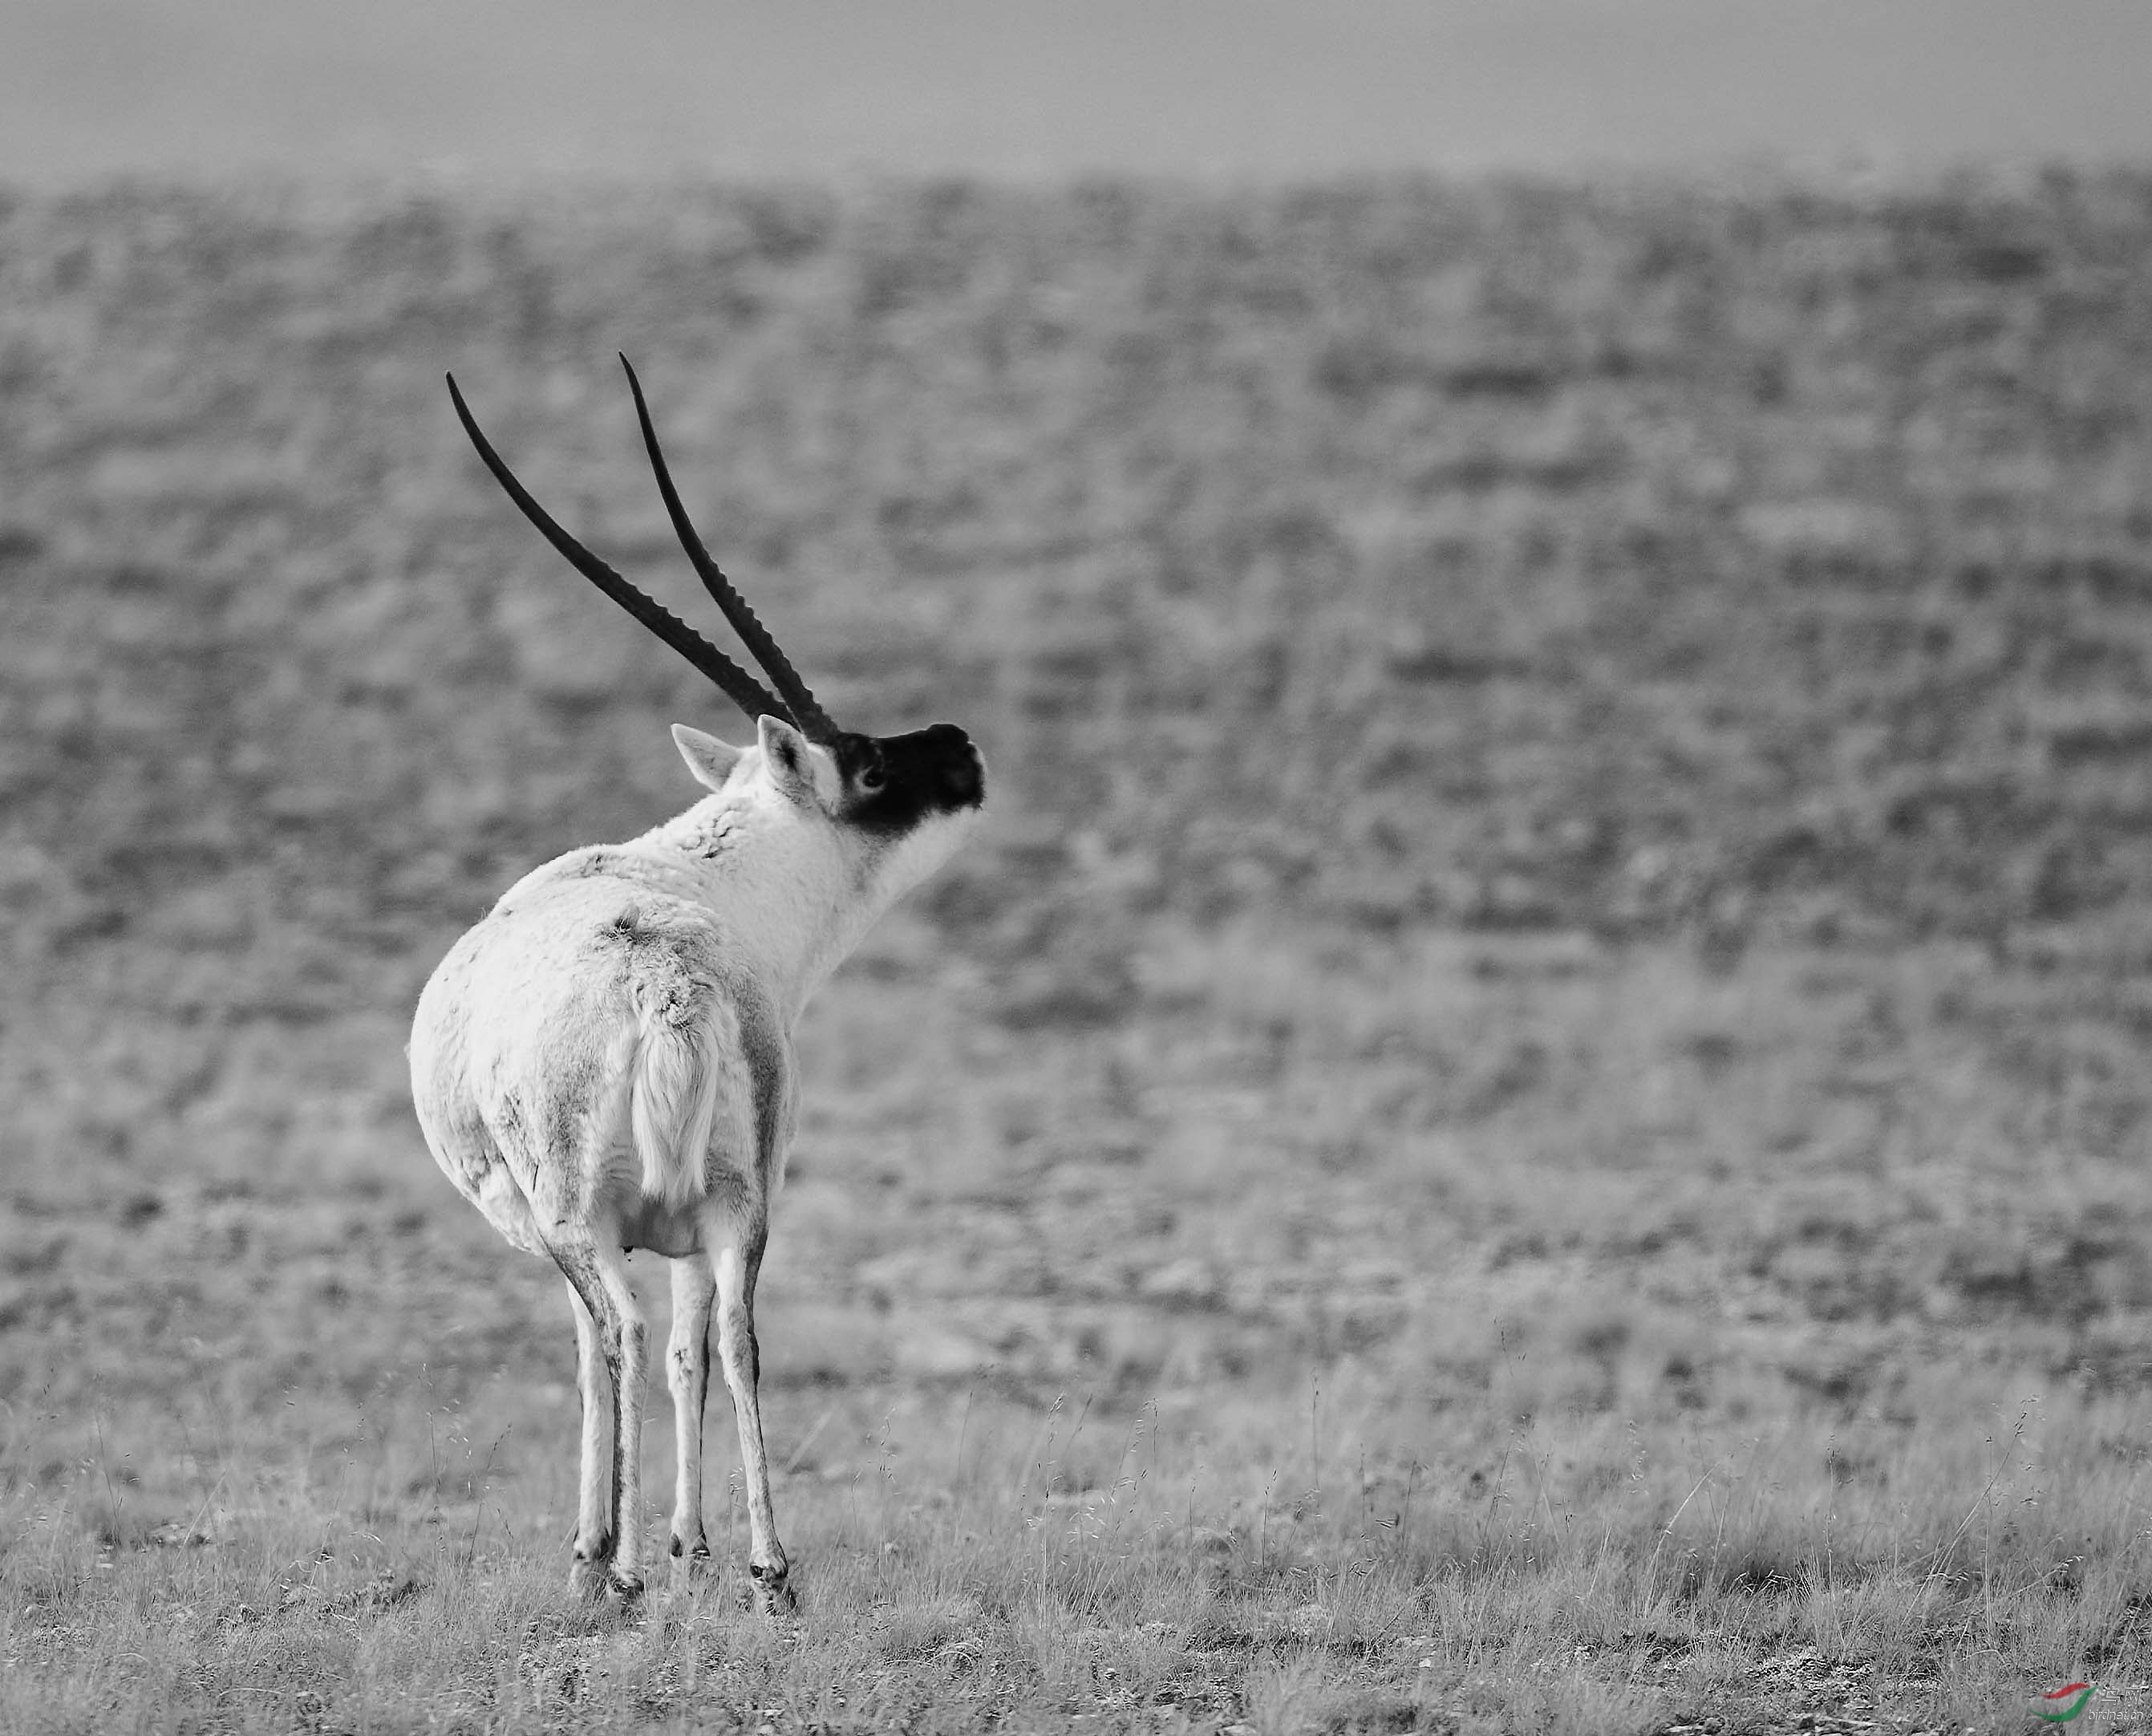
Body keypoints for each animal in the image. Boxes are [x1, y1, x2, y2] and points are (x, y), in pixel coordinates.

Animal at [407, 357, 985, 1617]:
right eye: (872, 763)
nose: (962, 746)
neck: (695, 876)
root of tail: (660, 980)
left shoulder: (581, 1231)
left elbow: (596, 1356)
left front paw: (602, 1551)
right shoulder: (691, 1222)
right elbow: (691, 1351)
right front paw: (692, 1547)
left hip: (586, 1218)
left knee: (622, 1335)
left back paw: (621, 1579)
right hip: (735, 1201)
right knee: (730, 1338)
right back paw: (770, 1573)